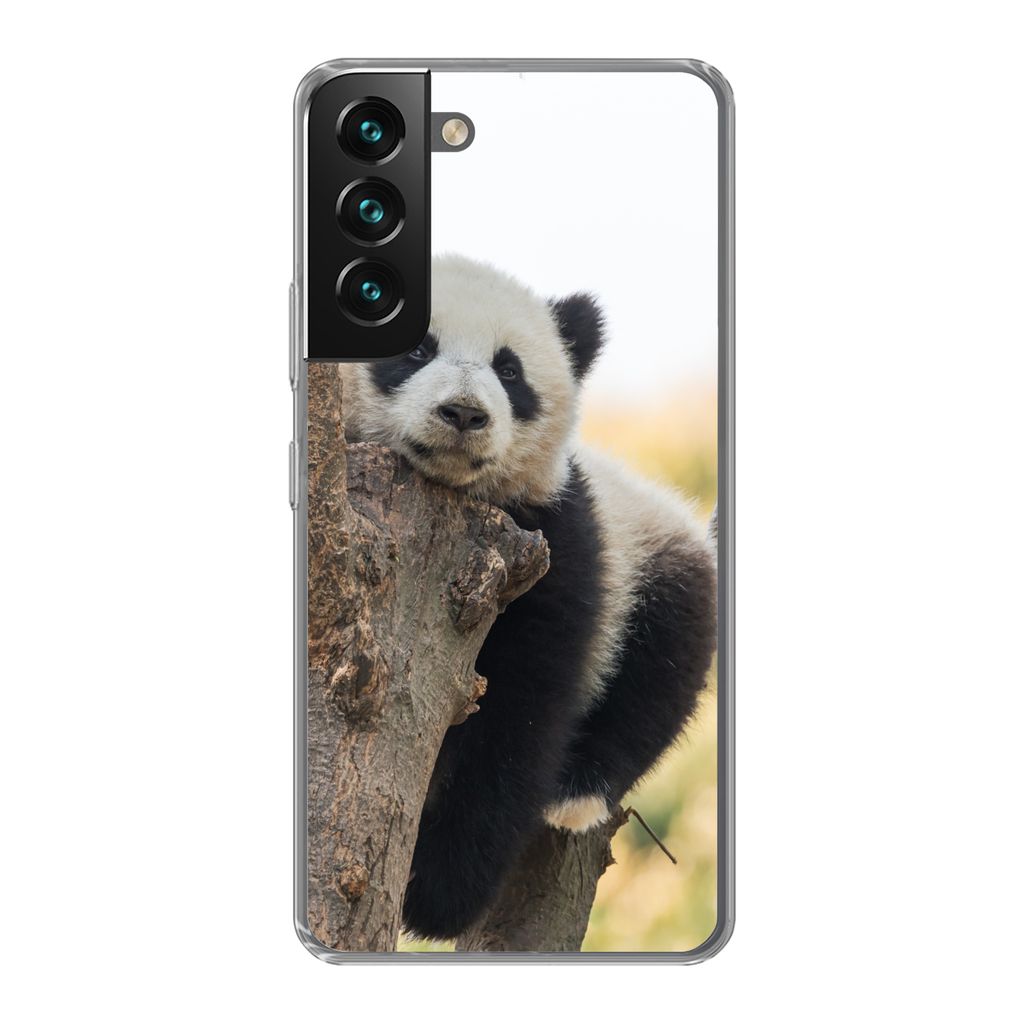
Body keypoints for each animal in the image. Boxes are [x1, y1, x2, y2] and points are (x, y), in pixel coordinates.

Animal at [339, 255, 718, 941]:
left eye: (509, 370)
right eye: (416, 348)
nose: (464, 414)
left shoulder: (555, 538)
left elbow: (524, 704)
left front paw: (434, 894)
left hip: (652, 554)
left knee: (663, 664)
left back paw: (578, 793)